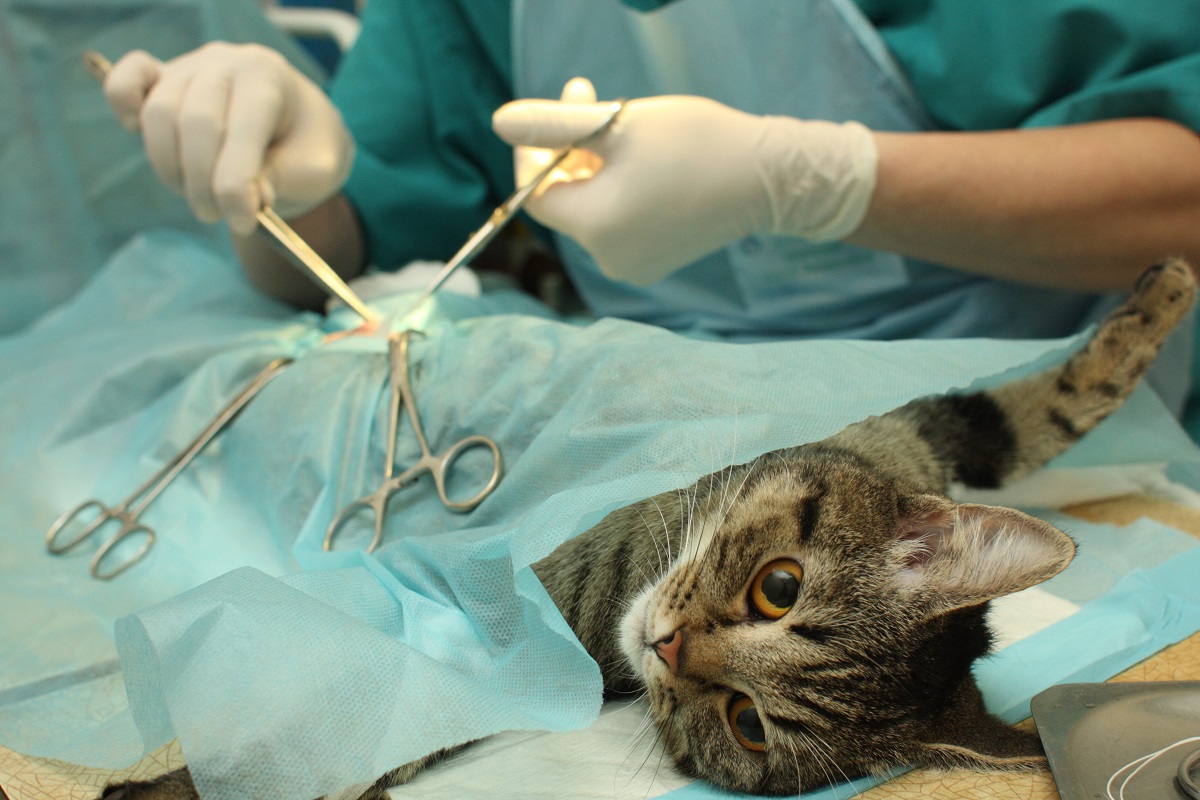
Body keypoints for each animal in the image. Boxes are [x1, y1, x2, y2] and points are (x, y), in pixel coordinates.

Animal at [108, 260, 1195, 796]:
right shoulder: (919, 427)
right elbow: (1051, 396)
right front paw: (1165, 294)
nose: (669, 645)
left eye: (747, 721)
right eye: (779, 586)